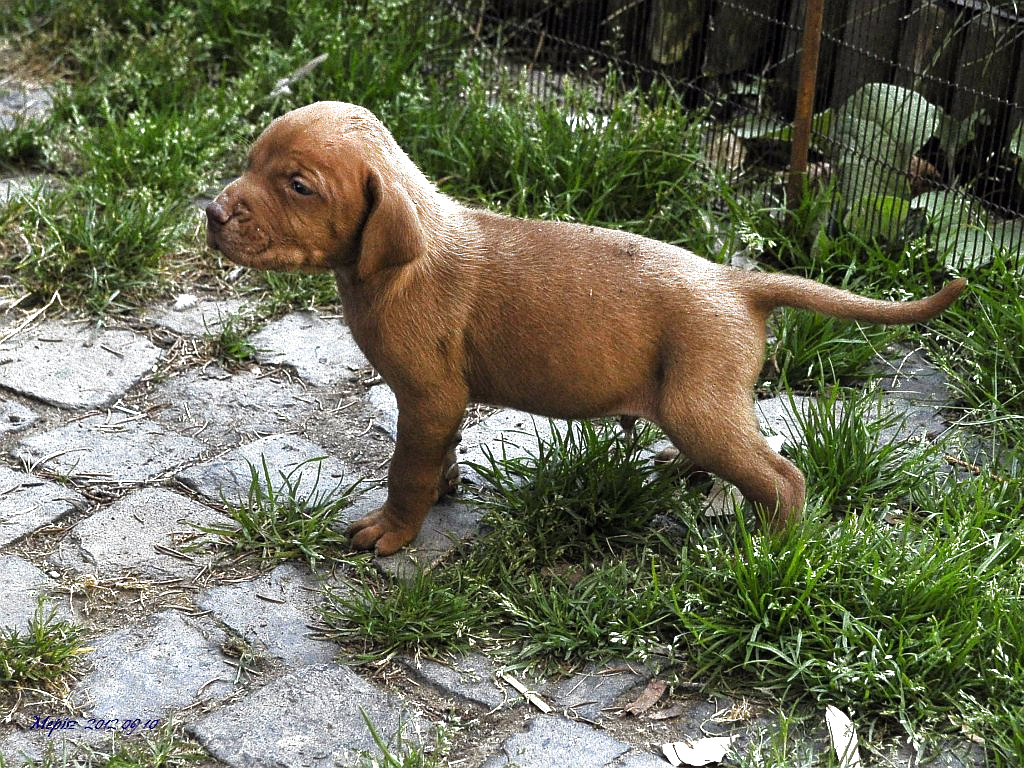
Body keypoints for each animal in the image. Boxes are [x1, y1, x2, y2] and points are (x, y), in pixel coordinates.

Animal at [203, 103, 962, 561]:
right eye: (251, 161)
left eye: (299, 186)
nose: (211, 212)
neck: (397, 266)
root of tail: (735, 282)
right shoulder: (442, 404)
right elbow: (436, 455)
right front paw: (445, 487)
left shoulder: (428, 395)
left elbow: (407, 468)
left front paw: (393, 529)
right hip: (709, 402)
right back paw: (682, 471)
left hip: (697, 403)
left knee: (781, 476)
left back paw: (770, 550)